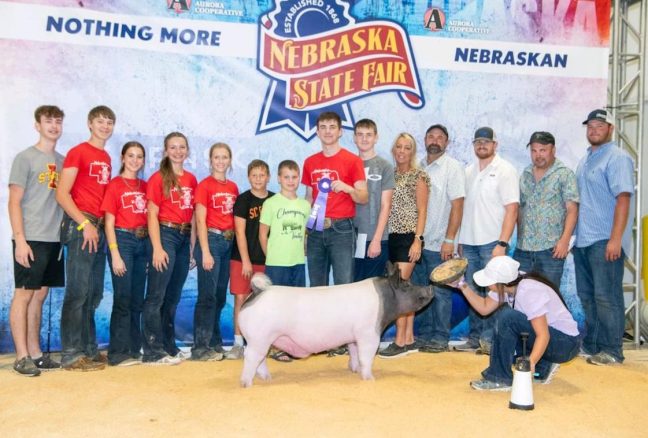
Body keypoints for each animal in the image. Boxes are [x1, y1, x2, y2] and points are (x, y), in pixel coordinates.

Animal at [238, 264, 436, 386]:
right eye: (407, 285)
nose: (430, 288)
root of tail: (257, 292)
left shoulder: (354, 337)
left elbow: (354, 353)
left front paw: (354, 370)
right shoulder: (368, 334)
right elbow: (366, 357)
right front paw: (370, 379)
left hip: (263, 340)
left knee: (261, 360)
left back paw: (267, 378)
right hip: (259, 338)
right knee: (251, 357)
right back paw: (247, 384)